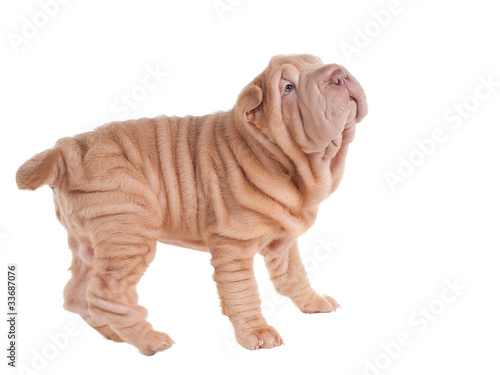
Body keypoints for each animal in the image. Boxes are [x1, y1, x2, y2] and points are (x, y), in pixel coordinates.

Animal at [16, 53, 368, 356]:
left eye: (317, 62)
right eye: (288, 88)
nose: (339, 74)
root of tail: (66, 150)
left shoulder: (282, 238)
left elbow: (293, 275)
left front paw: (314, 302)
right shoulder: (233, 244)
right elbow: (243, 291)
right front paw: (257, 333)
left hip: (88, 241)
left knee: (76, 295)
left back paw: (115, 333)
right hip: (128, 228)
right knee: (103, 293)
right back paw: (149, 340)